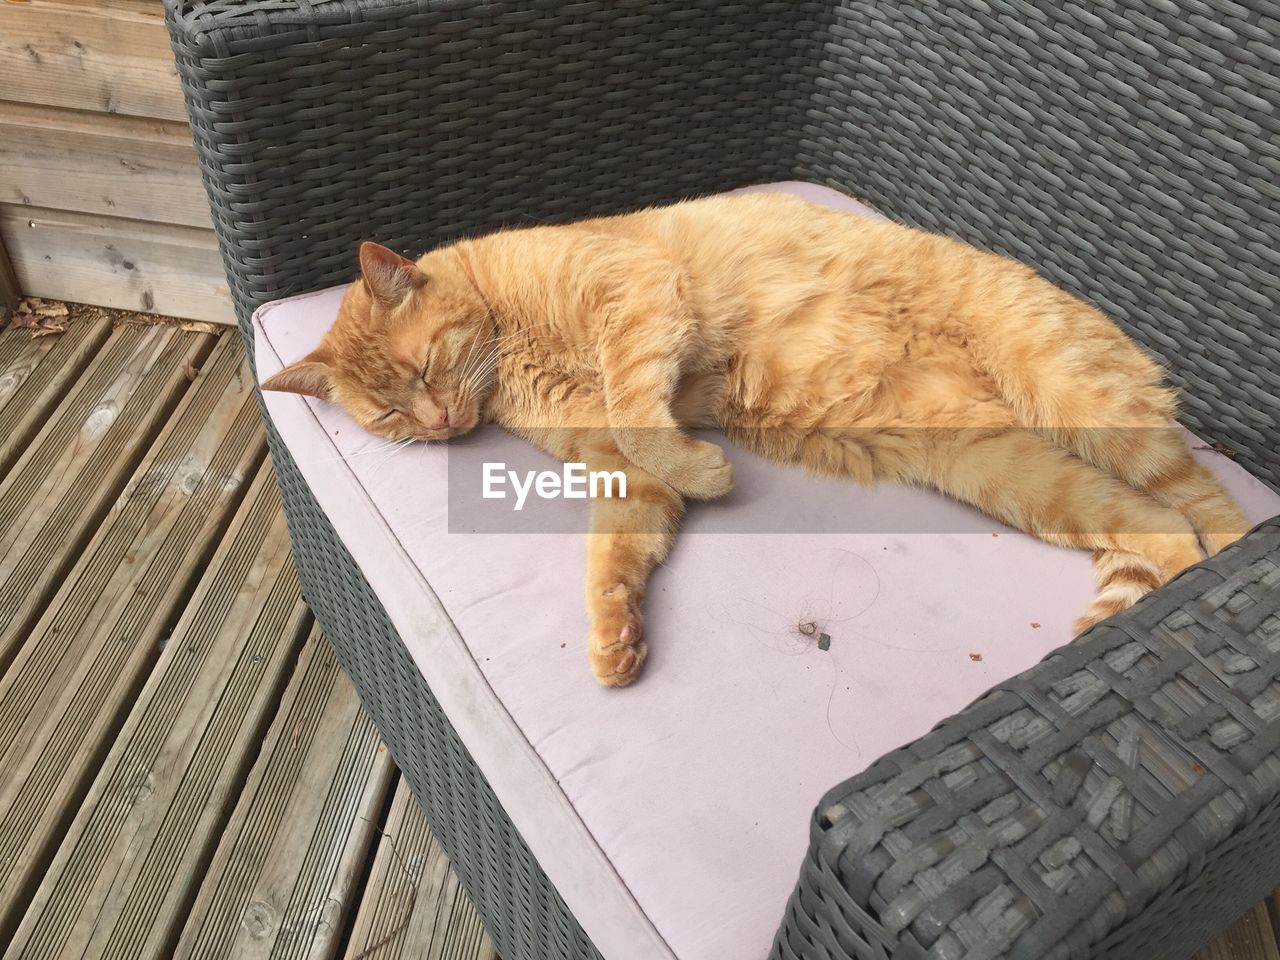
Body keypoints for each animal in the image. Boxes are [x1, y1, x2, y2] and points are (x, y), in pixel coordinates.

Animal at [259, 192, 1249, 686]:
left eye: (426, 368)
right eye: (390, 415)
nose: (437, 424)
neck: (512, 342)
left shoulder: (636, 301)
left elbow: (643, 416)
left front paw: (709, 469)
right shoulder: (616, 472)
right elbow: (619, 544)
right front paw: (616, 636)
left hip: (1077, 396)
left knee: (1213, 514)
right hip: (1007, 471)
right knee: (1159, 527)